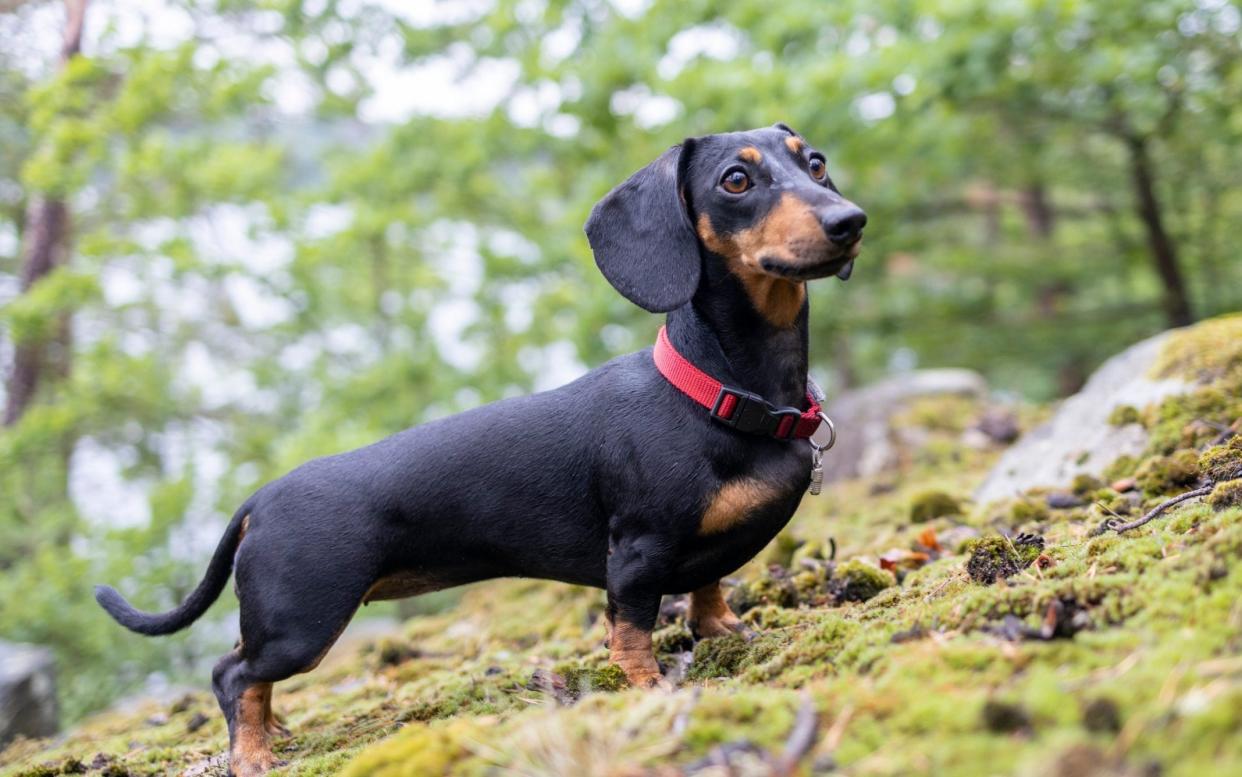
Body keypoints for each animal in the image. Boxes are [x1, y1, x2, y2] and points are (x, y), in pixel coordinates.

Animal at [94, 124, 864, 769]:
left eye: (815, 163)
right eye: (736, 180)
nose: (849, 221)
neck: (719, 394)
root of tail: (260, 497)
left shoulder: (702, 553)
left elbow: (709, 588)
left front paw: (726, 631)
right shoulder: (638, 555)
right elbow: (631, 632)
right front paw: (649, 689)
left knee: (242, 665)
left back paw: (272, 728)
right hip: (302, 624)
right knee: (233, 674)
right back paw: (252, 753)